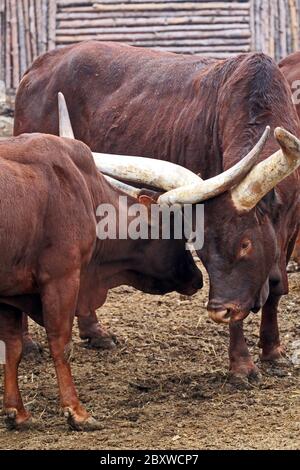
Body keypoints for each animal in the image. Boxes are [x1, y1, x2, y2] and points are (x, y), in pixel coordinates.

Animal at [0, 129, 204, 430]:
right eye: (176, 231)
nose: (198, 278)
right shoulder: (62, 279)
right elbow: (61, 343)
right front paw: (76, 412)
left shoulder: (11, 293)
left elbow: (13, 348)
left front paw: (17, 412)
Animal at [14, 41, 300, 378]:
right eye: (201, 251)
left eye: (245, 244)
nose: (219, 312)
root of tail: (40, 65)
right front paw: (242, 365)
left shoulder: (290, 229)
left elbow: (277, 290)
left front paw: (272, 350)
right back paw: (28, 344)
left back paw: (95, 332)